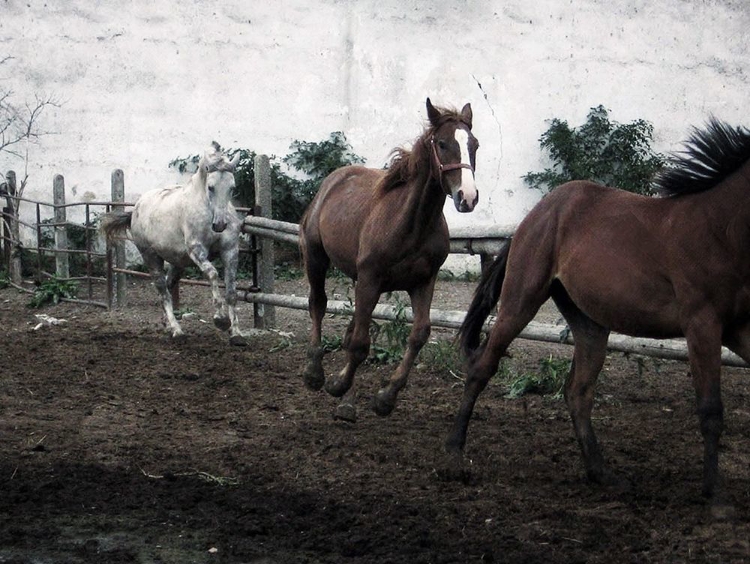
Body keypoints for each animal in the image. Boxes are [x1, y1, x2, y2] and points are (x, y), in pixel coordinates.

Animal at [104, 142, 247, 344]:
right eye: (211, 187)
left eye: (232, 187)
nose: (219, 225)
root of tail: (136, 208)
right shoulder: (197, 250)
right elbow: (212, 274)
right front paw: (221, 319)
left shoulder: (230, 251)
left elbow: (232, 292)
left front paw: (236, 334)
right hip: (151, 256)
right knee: (162, 290)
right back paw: (176, 330)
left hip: (178, 263)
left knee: (168, 286)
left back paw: (167, 324)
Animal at [302, 99, 478, 420]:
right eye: (443, 143)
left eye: (474, 144)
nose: (468, 197)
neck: (411, 224)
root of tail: (331, 181)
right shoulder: (370, 278)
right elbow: (360, 344)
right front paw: (336, 385)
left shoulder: (423, 281)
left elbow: (419, 334)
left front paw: (385, 397)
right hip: (318, 258)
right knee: (318, 304)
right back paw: (315, 374)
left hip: (362, 280)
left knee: (351, 329)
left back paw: (347, 402)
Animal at [450, 120, 750, 498]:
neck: (720, 230)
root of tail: (534, 216)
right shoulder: (702, 324)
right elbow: (710, 410)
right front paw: (713, 494)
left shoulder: (738, 327)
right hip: (521, 301)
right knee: (482, 367)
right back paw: (454, 459)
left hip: (589, 322)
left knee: (577, 391)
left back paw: (601, 472)